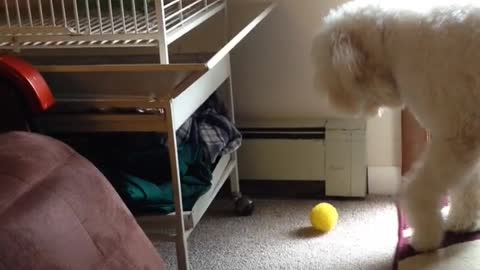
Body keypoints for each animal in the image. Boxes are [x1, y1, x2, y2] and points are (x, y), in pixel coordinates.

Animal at [314, 0, 480, 253]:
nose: (336, 101)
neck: (389, 38)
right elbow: (468, 187)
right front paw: (462, 221)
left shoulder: (456, 139)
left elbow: (419, 190)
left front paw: (424, 237)